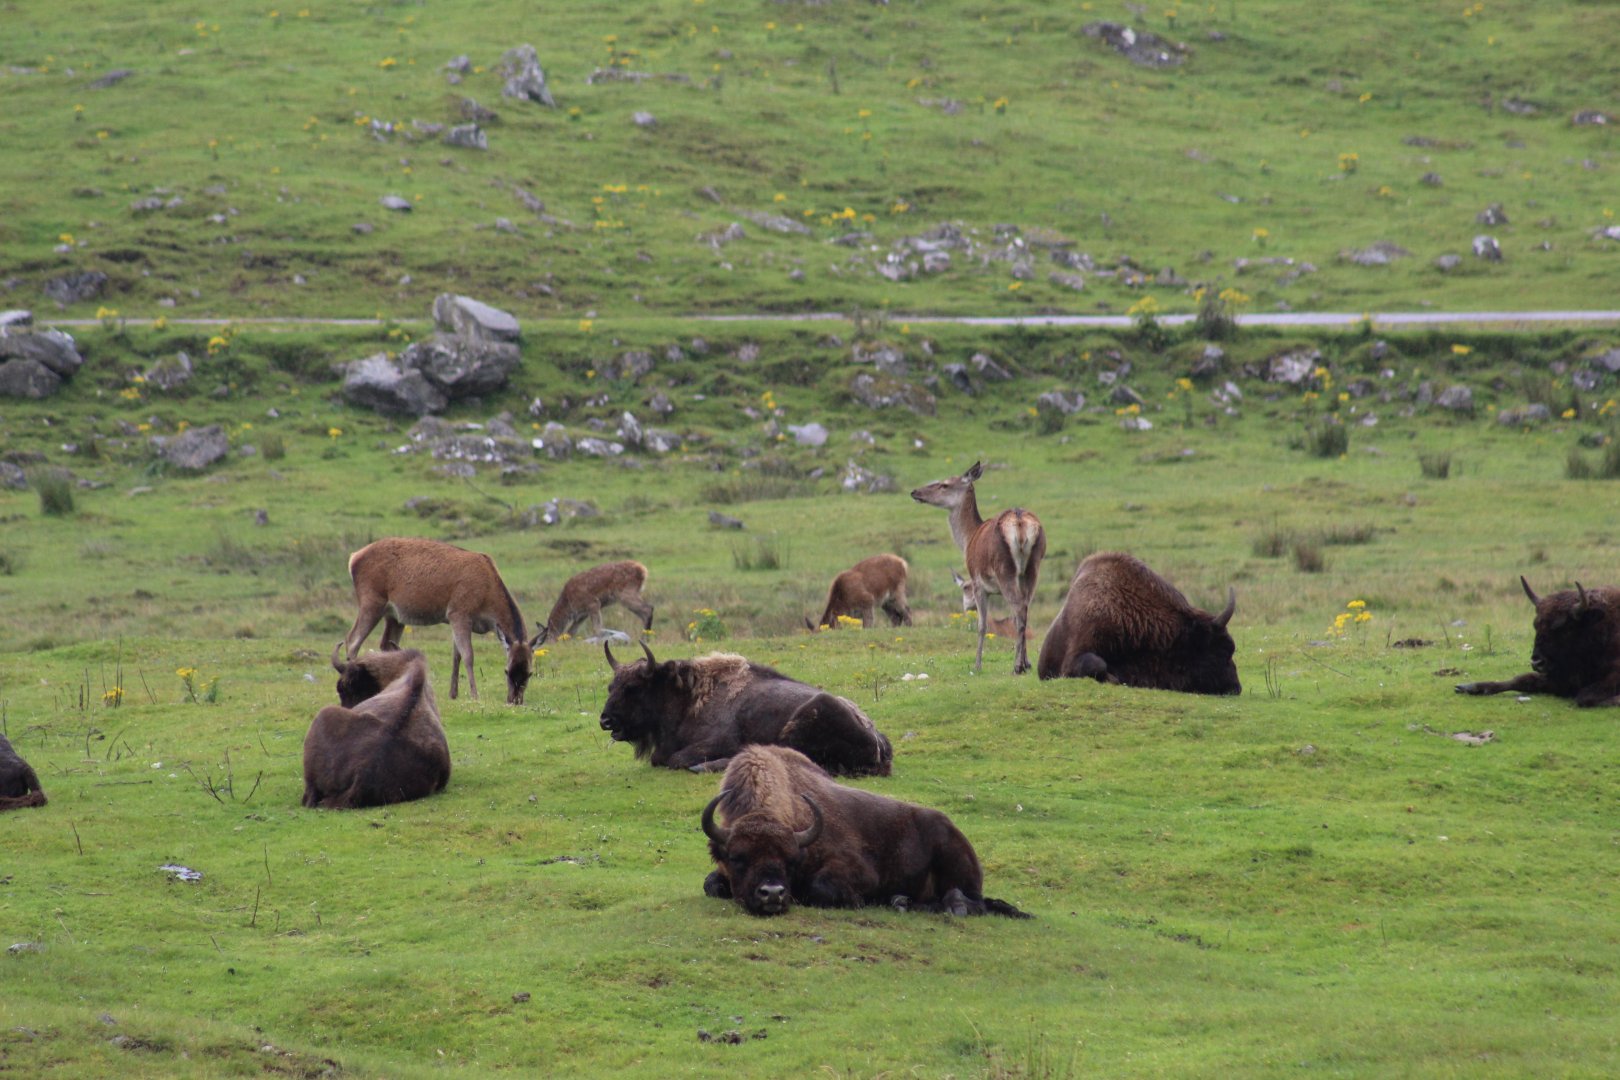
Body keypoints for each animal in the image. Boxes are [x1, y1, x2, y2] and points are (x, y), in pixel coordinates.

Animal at [342, 537, 541, 705]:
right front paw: (474, 695)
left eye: (530, 673)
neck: (487, 599)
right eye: (507, 671)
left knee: (385, 644)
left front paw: (453, 693)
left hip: (394, 615)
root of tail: (353, 558)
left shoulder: (454, 618)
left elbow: (456, 655)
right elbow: (468, 655)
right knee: (352, 640)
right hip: (371, 600)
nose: (515, 700)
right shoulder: (459, 612)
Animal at [599, 642, 892, 776]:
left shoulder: (718, 741)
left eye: (633, 687)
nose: (605, 720)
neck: (689, 696)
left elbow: (674, 759)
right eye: (611, 686)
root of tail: (877, 741)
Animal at [700, 746, 1028, 918]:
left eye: (791, 859)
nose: (772, 894)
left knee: (973, 903)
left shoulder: (858, 870)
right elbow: (710, 884)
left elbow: (822, 888)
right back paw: (901, 902)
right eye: (737, 858)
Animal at [911, 461, 1045, 674]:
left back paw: (1016, 666)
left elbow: (982, 625)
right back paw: (1022, 664)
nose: (915, 492)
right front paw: (1028, 662)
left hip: (1004, 569)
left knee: (1018, 608)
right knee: (1024, 609)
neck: (968, 539)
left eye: (944, 484)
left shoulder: (978, 582)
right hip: (1033, 566)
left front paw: (977, 664)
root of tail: (1020, 523)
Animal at [1456, 577, 1620, 705]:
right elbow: (1522, 679)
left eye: (1566, 628)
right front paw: (1470, 687)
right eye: (1536, 625)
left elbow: (1584, 696)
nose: (1537, 662)